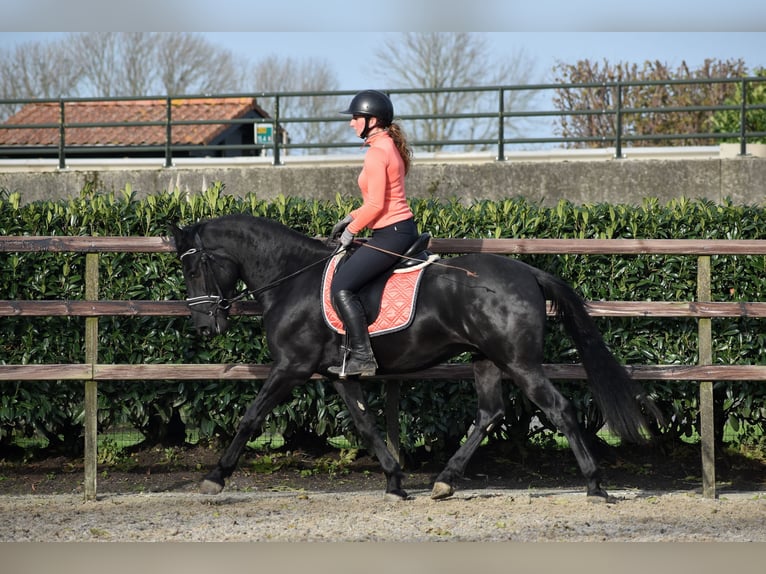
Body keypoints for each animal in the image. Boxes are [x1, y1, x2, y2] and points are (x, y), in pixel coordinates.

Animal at [171, 214, 664, 502]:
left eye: (193, 267)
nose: (204, 326)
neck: (293, 279)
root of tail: (528, 271)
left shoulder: (291, 367)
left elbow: (251, 415)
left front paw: (215, 477)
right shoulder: (339, 375)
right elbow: (367, 425)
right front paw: (394, 481)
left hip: (519, 363)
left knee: (558, 408)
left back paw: (596, 486)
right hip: (486, 359)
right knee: (490, 413)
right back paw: (445, 481)